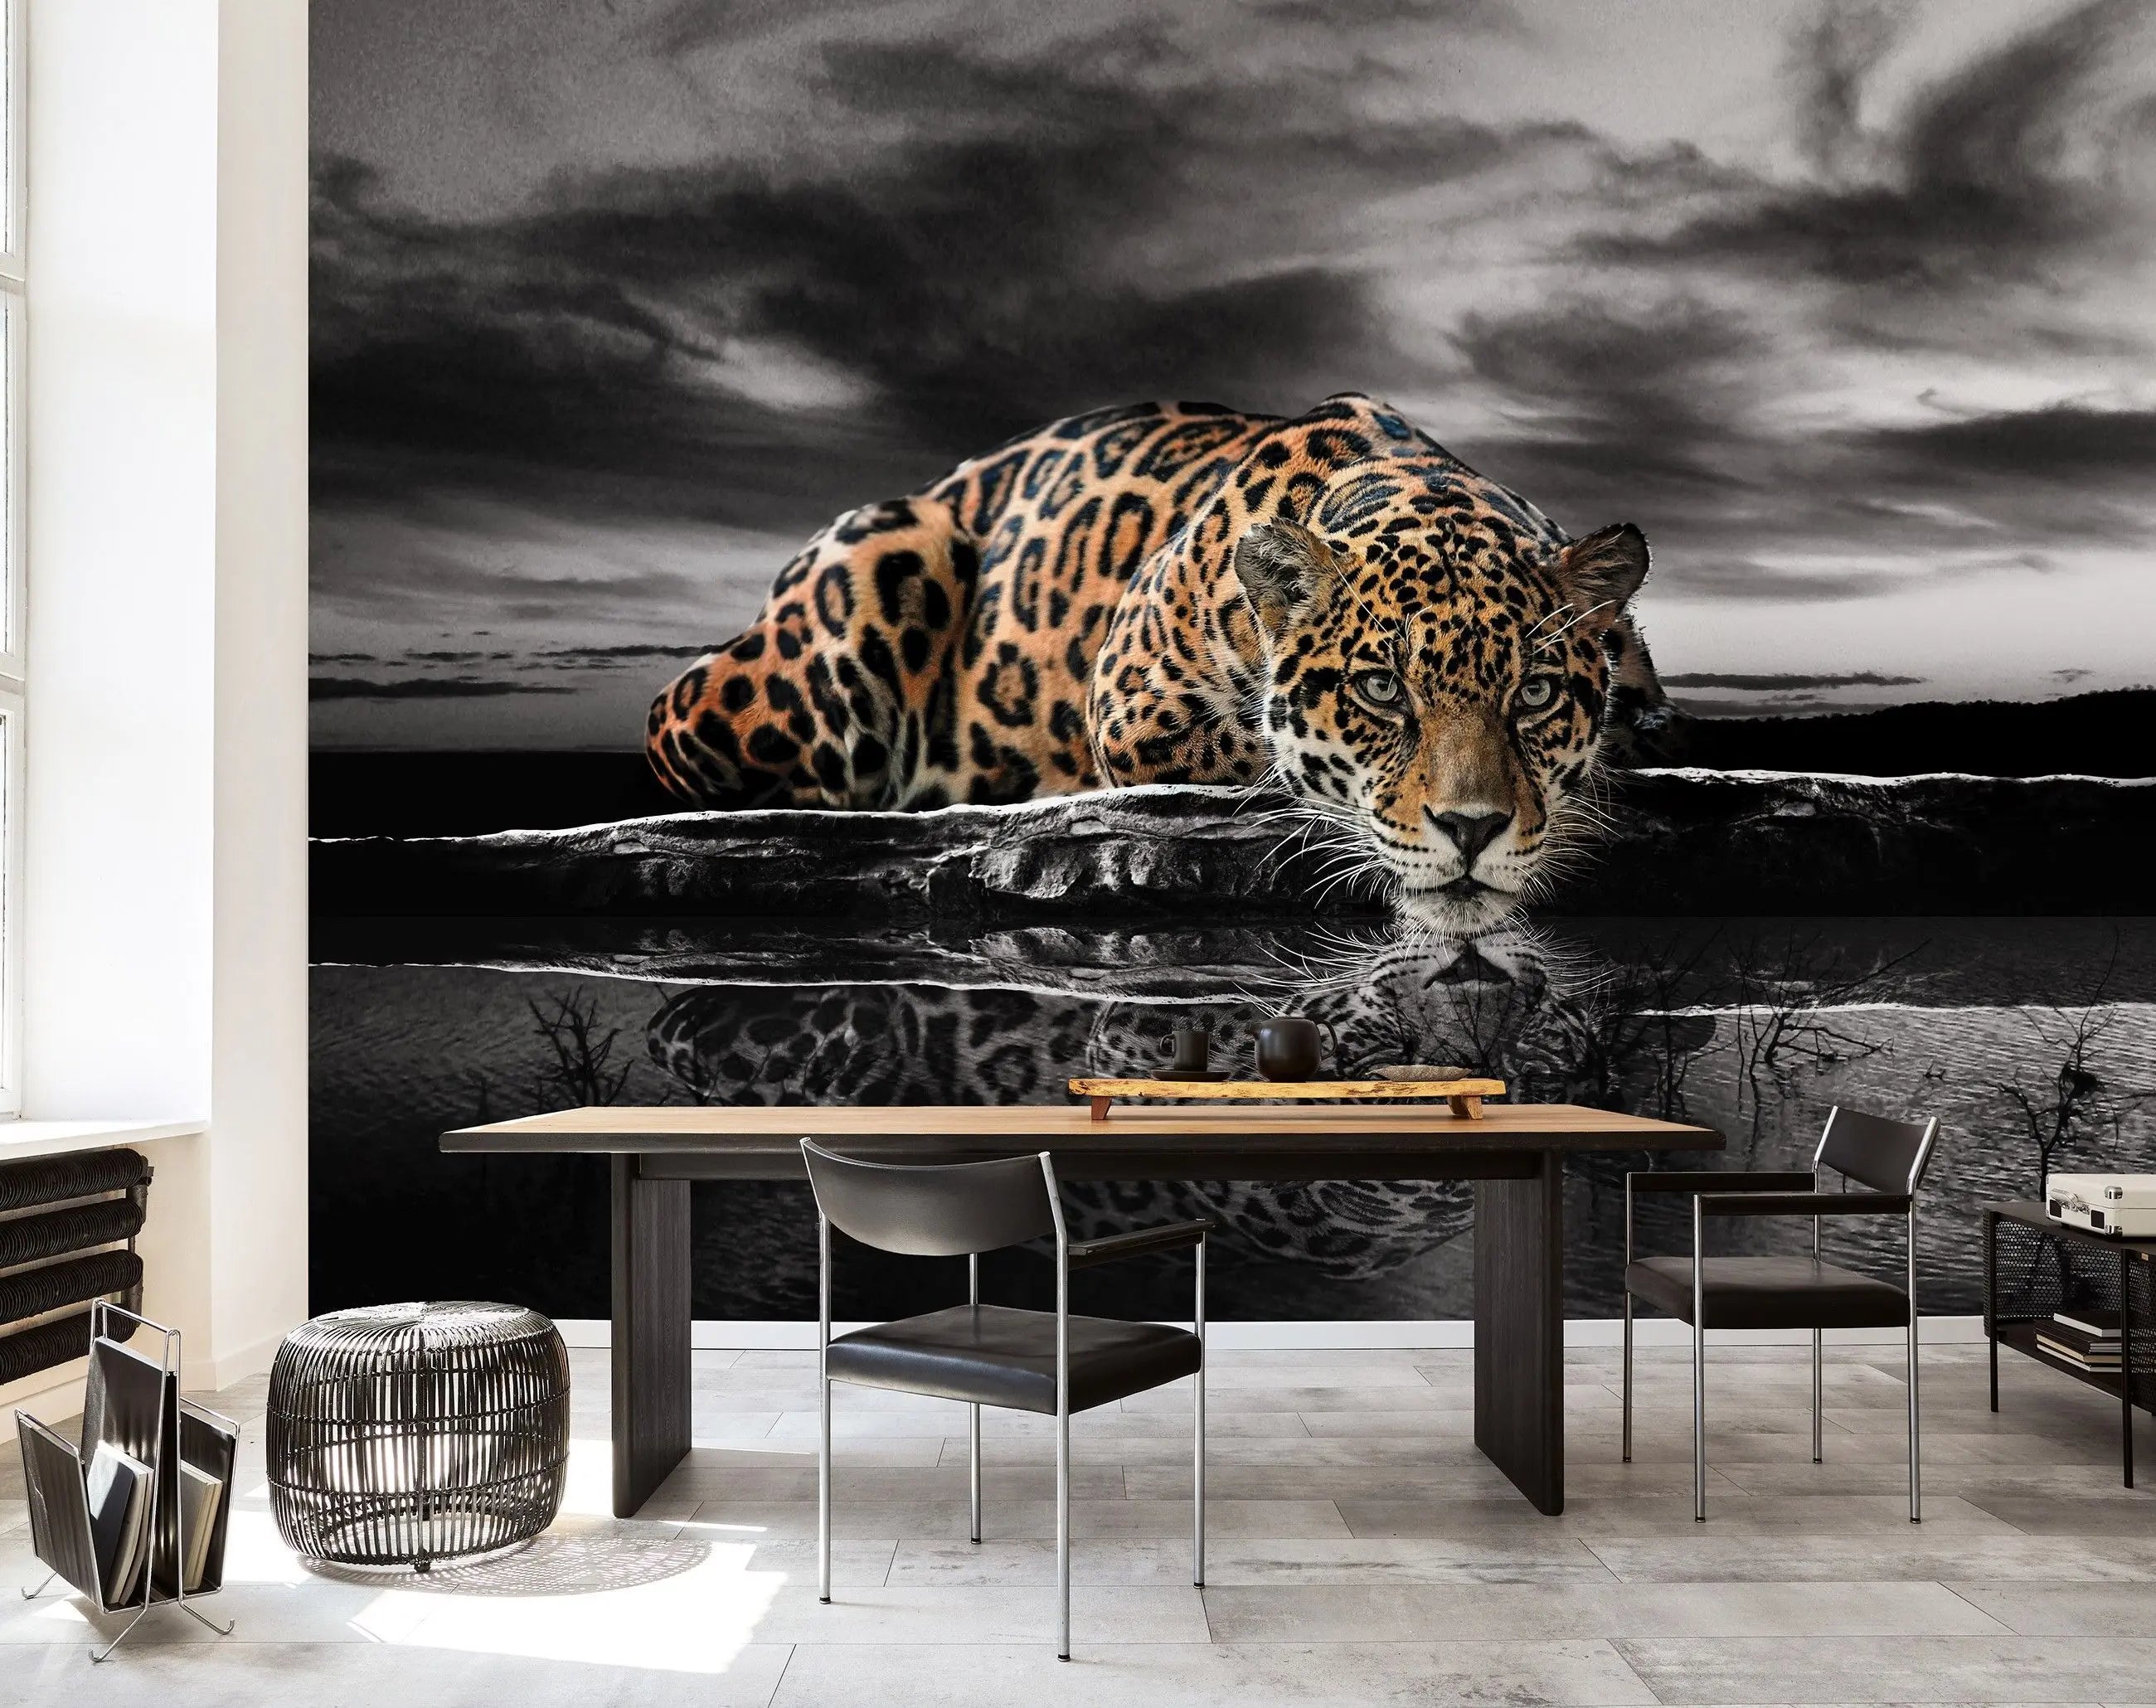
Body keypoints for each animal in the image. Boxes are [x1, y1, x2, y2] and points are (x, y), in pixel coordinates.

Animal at [646, 392, 1668, 931]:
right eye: (1381, 690)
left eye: (1534, 694)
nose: (1472, 830)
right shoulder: (1134, 704)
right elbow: (1263, 753)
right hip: (858, 589)